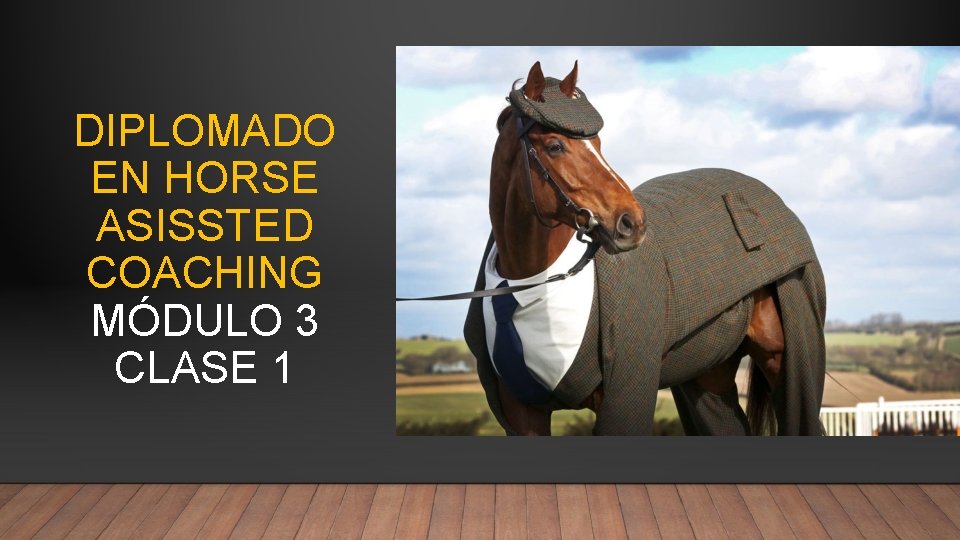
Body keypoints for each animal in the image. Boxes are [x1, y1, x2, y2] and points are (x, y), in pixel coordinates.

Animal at [462, 61, 826, 435]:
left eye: (596, 142)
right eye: (554, 146)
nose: (631, 222)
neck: (532, 285)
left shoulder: (622, 395)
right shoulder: (523, 413)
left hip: (784, 357)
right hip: (708, 377)